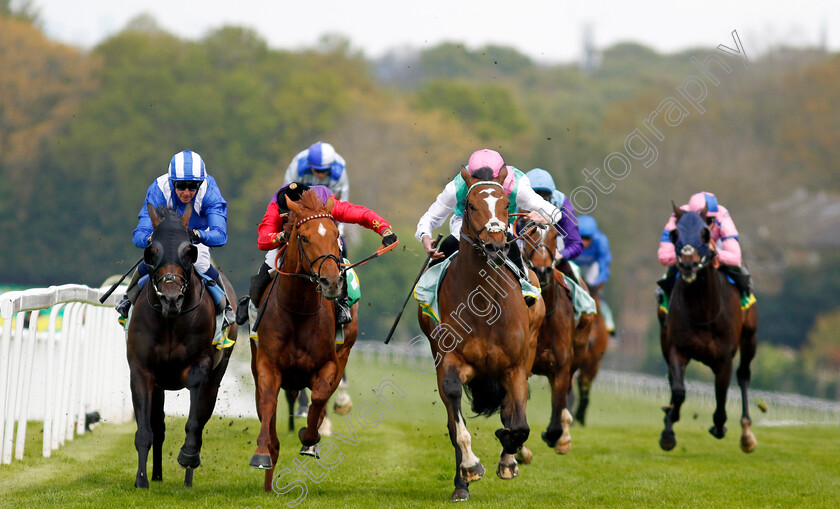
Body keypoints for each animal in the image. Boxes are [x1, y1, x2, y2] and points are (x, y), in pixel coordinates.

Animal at [129, 203, 240, 488]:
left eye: (189, 252)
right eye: (151, 251)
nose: (171, 298)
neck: (170, 322)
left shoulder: (199, 367)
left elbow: (194, 421)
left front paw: (188, 456)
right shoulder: (142, 372)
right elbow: (145, 430)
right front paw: (142, 480)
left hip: (217, 375)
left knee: (201, 417)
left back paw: (189, 477)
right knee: (158, 426)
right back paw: (157, 475)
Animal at [246, 189, 358, 490]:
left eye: (335, 234)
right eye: (304, 237)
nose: (331, 282)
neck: (298, 310)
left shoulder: (328, 364)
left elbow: (319, 397)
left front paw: (309, 439)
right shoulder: (267, 365)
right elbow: (268, 404)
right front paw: (263, 452)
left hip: (344, 353)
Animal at [418, 167, 544, 500]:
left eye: (506, 206)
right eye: (472, 206)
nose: (496, 246)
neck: (484, 303)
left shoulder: (515, 367)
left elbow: (518, 423)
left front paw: (509, 455)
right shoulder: (449, 360)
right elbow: (456, 421)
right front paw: (470, 468)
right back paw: (461, 484)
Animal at [516, 216, 592, 454]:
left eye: (555, 234)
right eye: (527, 233)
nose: (542, 270)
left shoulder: (561, 368)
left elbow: (556, 421)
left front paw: (557, 436)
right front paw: (520, 450)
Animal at [656, 204, 760, 450]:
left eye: (704, 233)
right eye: (674, 234)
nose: (687, 264)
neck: (703, 312)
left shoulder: (724, 359)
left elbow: (721, 396)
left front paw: (720, 426)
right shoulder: (677, 349)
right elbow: (679, 391)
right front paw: (669, 428)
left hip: (750, 337)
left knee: (744, 375)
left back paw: (746, 432)